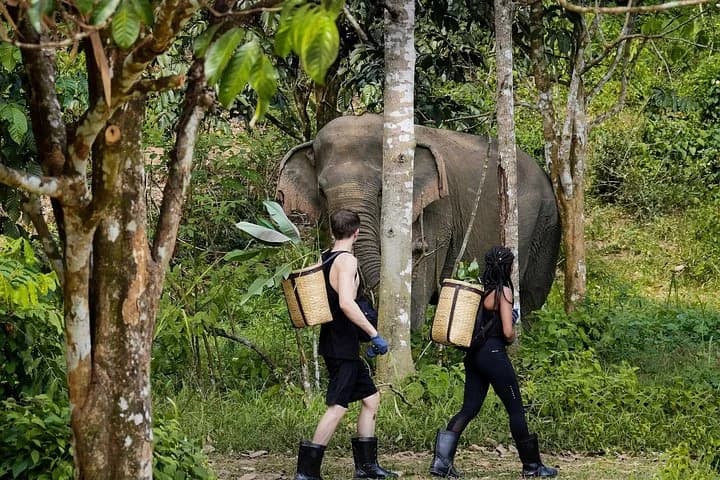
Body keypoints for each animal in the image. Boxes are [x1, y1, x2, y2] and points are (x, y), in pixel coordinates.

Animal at [276, 113, 560, 330]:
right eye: (322, 192)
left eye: (382, 191)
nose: (419, 247)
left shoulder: (436, 212)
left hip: (545, 222)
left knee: (532, 296)